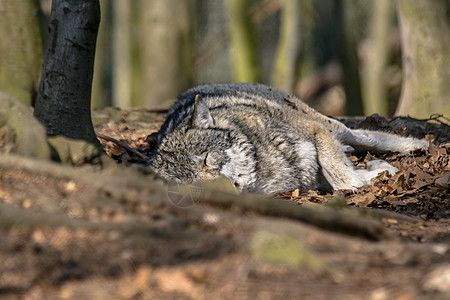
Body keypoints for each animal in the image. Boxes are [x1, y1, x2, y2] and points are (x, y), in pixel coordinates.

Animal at [148, 82, 428, 195]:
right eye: (187, 183)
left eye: (206, 159)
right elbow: (344, 181)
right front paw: (374, 169)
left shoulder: (316, 131)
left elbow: (344, 178)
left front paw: (380, 170)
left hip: (327, 124)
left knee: (366, 136)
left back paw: (419, 144)